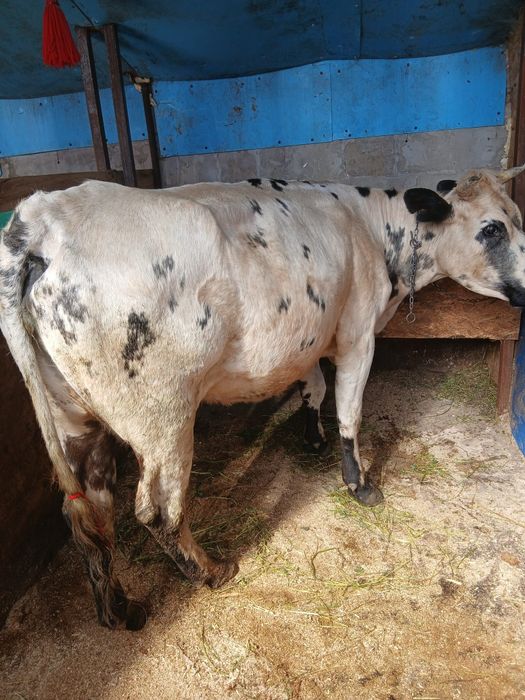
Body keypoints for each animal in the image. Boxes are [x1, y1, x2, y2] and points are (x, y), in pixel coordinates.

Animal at [1, 166, 525, 630]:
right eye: (492, 227)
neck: (371, 226)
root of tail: (41, 215)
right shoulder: (358, 332)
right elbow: (350, 411)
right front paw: (359, 485)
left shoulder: (307, 334)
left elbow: (312, 388)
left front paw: (311, 438)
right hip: (162, 416)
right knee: (159, 510)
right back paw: (212, 572)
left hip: (74, 415)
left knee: (91, 509)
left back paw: (118, 610)